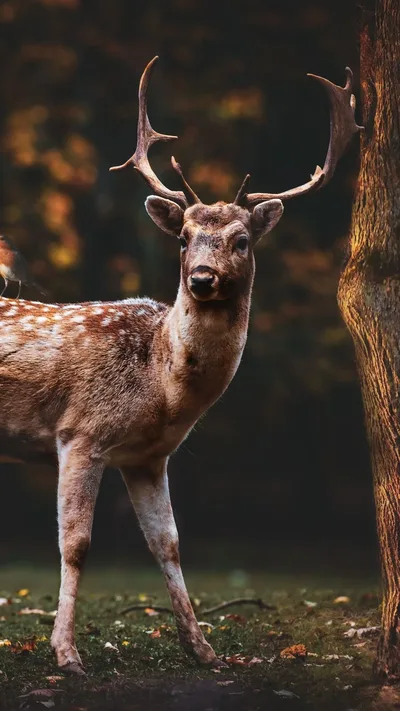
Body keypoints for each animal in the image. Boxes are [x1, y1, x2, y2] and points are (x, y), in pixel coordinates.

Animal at [0, 57, 361, 674]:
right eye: (185, 237)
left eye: (241, 240)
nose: (202, 277)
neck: (161, 386)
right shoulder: (79, 432)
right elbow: (76, 544)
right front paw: (67, 654)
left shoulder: (148, 457)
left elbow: (167, 542)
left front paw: (204, 650)